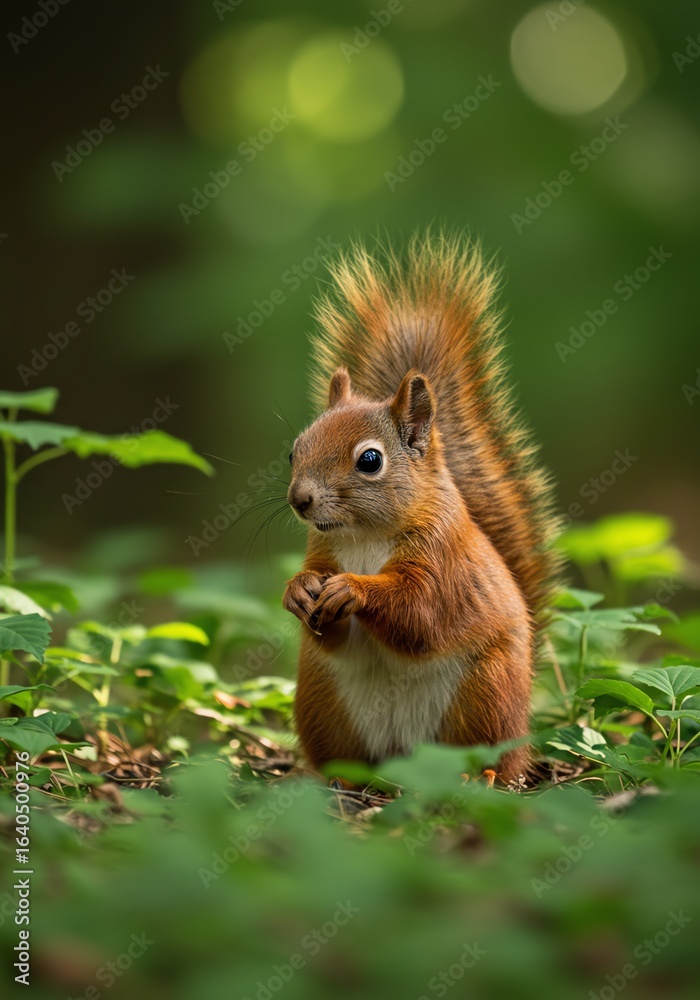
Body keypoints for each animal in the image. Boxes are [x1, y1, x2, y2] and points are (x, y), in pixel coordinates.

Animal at [282, 233, 559, 785]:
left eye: (370, 460)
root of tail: (402, 761)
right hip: (324, 703)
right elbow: (330, 632)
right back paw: (340, 780)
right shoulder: (321, 552)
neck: (363, 538)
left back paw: (480, 776)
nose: (300, 499)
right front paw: (298, 590)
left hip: (485, 696)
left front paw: (354, 590)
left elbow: (420, 614)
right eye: (293, 450)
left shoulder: (443, 563)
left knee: (493, 758)